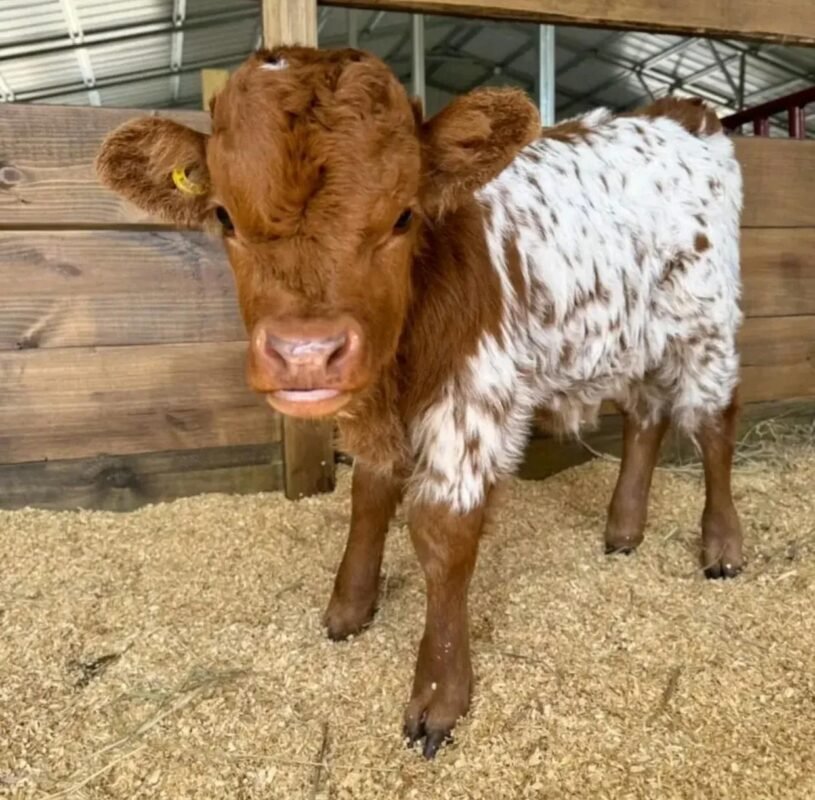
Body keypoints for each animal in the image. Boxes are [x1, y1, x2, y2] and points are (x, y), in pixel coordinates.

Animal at [96, 46, 744, 758]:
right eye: (224, 217)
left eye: (404, 215)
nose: (305, 353)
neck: (396, 372)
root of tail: (678, 113)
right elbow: (369, 496)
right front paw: (350, 606)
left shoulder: (471, 400)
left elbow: (442, 535)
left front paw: (439, 692)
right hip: (632, 334)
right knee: (645, 415)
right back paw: (624, 529)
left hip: (708, 322)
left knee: (714, 422)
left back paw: (722, 546)